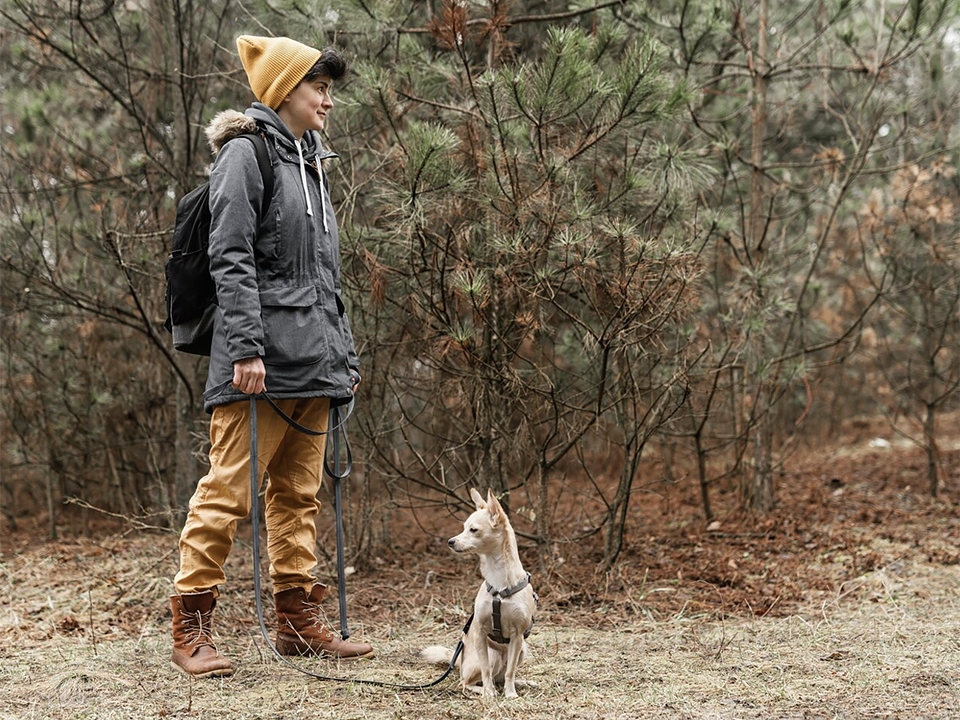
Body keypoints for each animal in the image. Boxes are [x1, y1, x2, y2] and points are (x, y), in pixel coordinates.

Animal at [422, 490, 536, 696]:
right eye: (463, 528)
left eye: (473, 530)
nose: (450, 541)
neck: (499, 582)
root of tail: (459, 662)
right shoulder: (480, 633)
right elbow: (485, 669)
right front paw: (489, 693)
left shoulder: (517, 636)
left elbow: (510, 671)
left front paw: (511, 693)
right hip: (493, 655)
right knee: (466, 682)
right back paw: (483, 690)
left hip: (522, 649)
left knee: (503, 675)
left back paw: (522, 683)